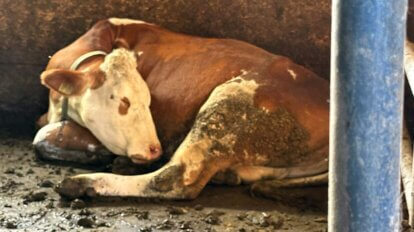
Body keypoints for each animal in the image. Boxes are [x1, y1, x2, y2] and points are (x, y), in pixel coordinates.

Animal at [33, 18, 330, 199]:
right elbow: (42, 131)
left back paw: (84, 183)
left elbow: (41, 136)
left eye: (149, 100)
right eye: (123, 101)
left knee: (174, 179)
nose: (154, 149)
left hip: (228, 106)